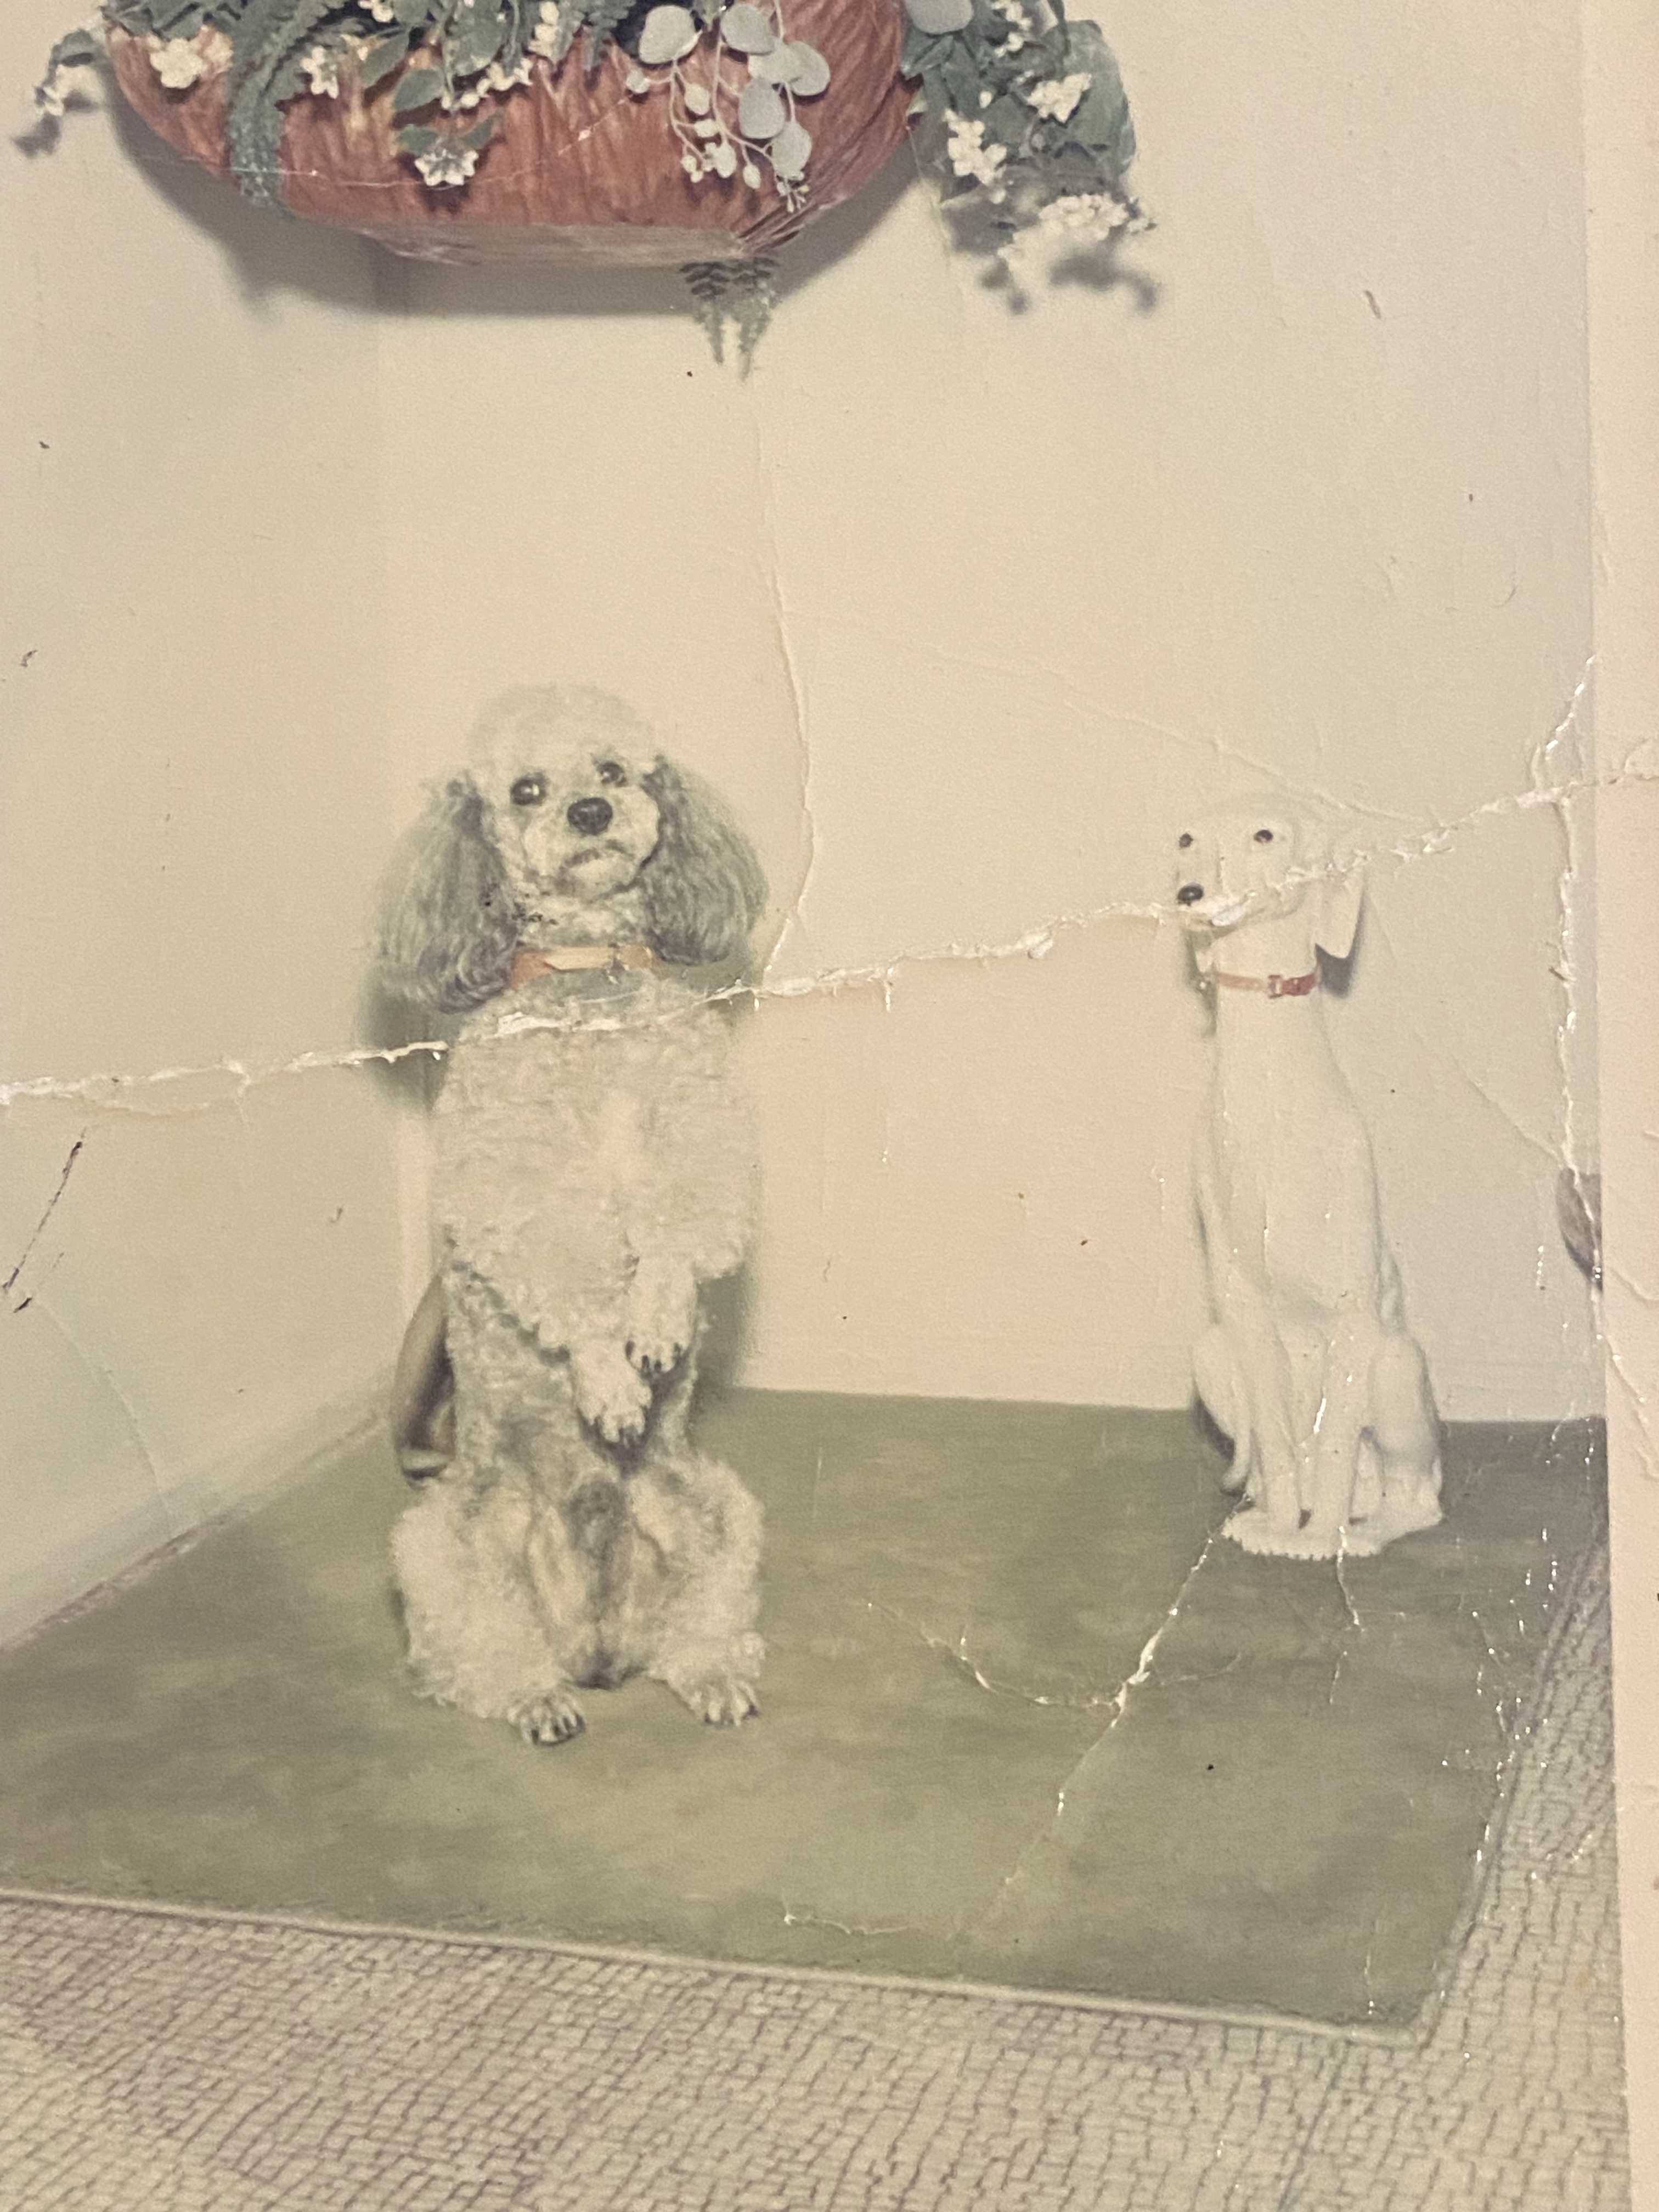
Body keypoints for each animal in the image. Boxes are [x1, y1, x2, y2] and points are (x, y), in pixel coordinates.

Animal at [377, 685, 769, 1742]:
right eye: (526, 789)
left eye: (615, 770)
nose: (590, 814)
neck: (587, 985)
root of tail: (595, 1650)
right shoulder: (518, 1188)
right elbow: (573, 1284)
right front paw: (607, 1377)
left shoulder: (697, 1141)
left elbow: (674, 1240)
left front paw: (658, 1325)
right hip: (440, 1547)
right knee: (470, 1658)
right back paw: (533, 1697)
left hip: (717, 1508)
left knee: (699, 1626)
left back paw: (712, 1673)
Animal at [1173, 799, 1443, 1559]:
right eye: (1186, 838)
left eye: (1266, 834)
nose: (1190, 896)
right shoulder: (1242, 1306)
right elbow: (1278, 1434)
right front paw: (1278, 1525)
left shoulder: (1353, 1309)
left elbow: (1335, 1442)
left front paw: (1317, 1537)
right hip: (1210, 1353)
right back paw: (1272, 1505)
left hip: (1397, 1371)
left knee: (1414, 1495)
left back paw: (1369, 1525)